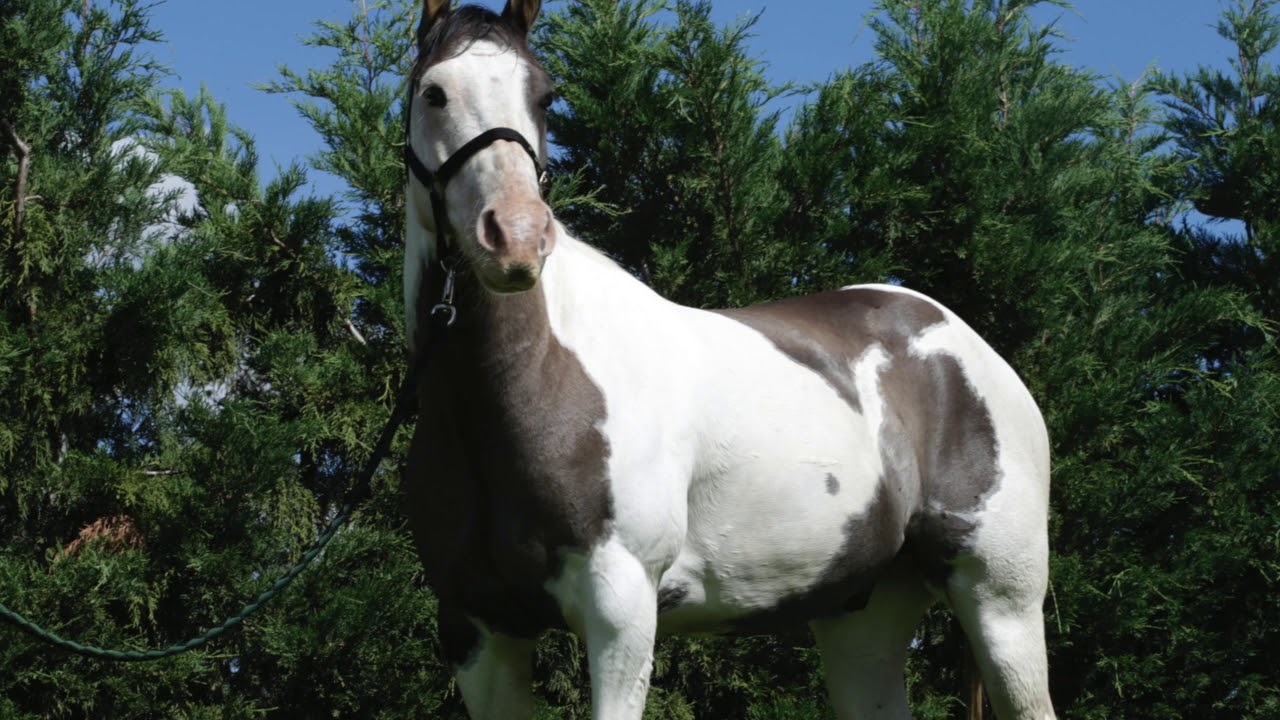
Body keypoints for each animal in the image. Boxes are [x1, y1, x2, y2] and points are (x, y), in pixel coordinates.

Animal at [400, 2, 1056, 718]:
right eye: (433, 92)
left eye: (545, 95)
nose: (516, 239)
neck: (534, 385)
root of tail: (966, 342)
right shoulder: (478, 630)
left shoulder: (619, 608)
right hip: (866, 615)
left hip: (1002, 599)